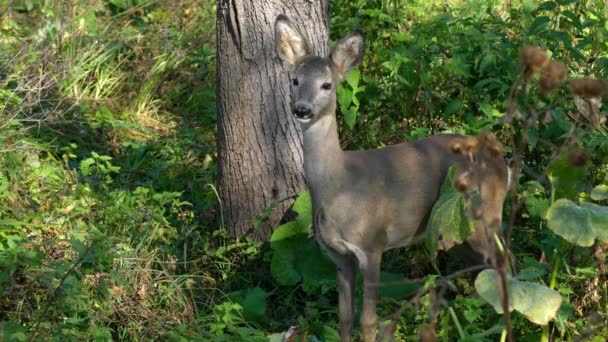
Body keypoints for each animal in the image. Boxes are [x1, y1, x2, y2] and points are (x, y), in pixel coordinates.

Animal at [274, 14, 508, 342]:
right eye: (295, 80)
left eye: (327, 84)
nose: (302, 109)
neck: (338, 187)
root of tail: (503, 163)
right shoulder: (338, 255)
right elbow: (344, 318)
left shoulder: (373, 244)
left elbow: (368, 321)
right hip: (456, 230)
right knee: (481, 272)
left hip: (484, 213)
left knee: (506, 264)